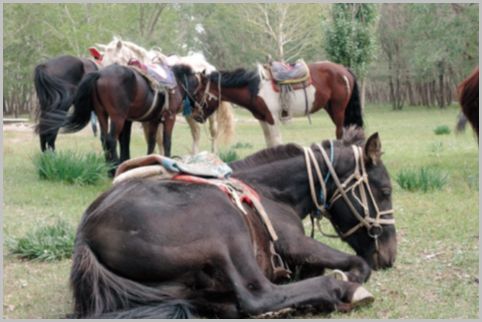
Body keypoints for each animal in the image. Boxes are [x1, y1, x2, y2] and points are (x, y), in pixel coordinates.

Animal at [58, 63, 198, 174]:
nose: (197, 109)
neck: (177, 84)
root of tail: (100, 73)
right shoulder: (170, 117)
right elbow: (166, 141)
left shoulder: (148, 120)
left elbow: (143, 140)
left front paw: (147, 161)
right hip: (117, 117)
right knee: (111, 139)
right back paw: (113, 168)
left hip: (102, 114)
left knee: (104, 138)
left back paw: (109, 166)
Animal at [69, 127, 398, 318]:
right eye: (385, 191)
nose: (390, 255)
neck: (271, 191)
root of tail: (86, 234)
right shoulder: (294, 242)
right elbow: (358, 264)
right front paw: (348, 280)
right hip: (227, 230)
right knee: (258, 297)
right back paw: (336, 292)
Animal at [192, 59, 362, 148]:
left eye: (198, 93)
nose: (196, 117)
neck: (255, 87)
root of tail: (344, 70)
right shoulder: (263, 119)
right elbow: (269, 142)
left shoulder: (272, 118)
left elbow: (276, 142)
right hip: (332, 109)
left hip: (339, 109)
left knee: (340, 132)